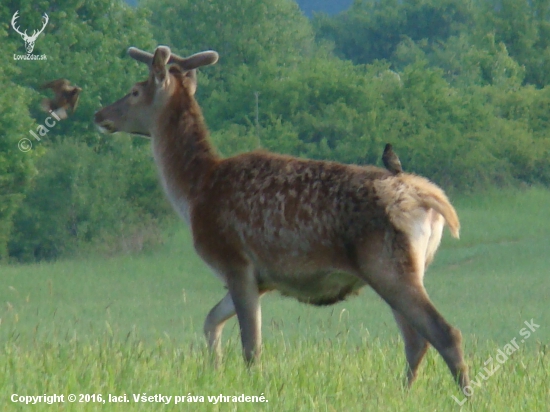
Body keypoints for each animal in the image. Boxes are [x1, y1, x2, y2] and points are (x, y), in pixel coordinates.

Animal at [94, 46, 470, 392]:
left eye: (134, 90)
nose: (100, 114)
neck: (194, 193)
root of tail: (428, 200)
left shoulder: (235, 261)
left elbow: (251, 347)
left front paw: (250, 385)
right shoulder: (261, 278)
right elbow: (210, 321)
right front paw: (213, 371)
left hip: (388, 265)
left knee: (444, 333)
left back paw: (463, 394)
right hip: (402, 268)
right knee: (415, 339)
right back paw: (403, 392)